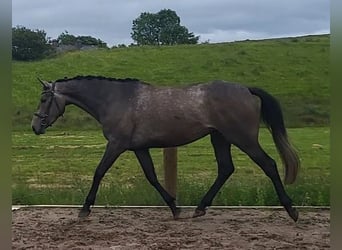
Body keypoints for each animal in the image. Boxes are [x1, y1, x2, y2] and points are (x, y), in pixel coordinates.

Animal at [31, 75, 300, 221]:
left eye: (44, 99)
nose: (35, 126)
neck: (115, 99)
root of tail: (246, 89)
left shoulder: (116, 145)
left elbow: (98, 173)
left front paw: (84, 210)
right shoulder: (139, 148)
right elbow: (151, 177)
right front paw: (175, 208)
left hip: (242, 138)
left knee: (269, 165)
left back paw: (292, 210)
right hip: (220, 138)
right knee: (226, 169)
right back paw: (199, 209)